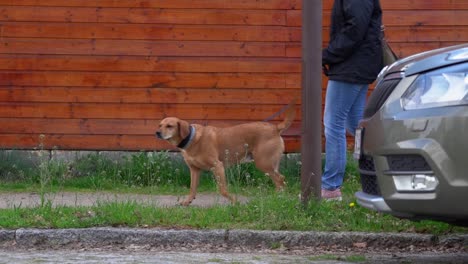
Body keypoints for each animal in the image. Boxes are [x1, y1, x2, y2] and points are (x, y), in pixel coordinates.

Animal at [157, 103, 296, 206]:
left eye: (169, 126)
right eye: (160, 125)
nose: (157, 133)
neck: (192, 138)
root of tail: (275, 128)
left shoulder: (218, 166)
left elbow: (223, 190)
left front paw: (235, 201)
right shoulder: (194, 170)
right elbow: (192, 189)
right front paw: (187, 201)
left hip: (263, 163)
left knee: (280, 180)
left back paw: (279, 199)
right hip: (269, 165)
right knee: (280, 181)